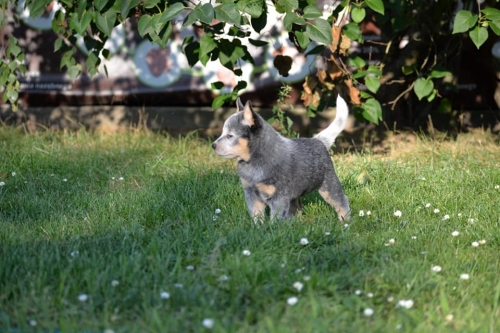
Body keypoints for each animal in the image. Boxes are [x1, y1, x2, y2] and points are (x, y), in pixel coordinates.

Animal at [213, 95, 350, 220]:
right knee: (297, 208)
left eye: (230, 136)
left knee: (342, 201)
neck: (253, 162)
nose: (213, 145)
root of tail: (318, 140)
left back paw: (344, 222)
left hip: (328, 185)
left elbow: (275, 219)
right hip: (296, 195)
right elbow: (257, 216)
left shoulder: (278, 198)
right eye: (222, 133)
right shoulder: (251, 194)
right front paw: (258, 228)